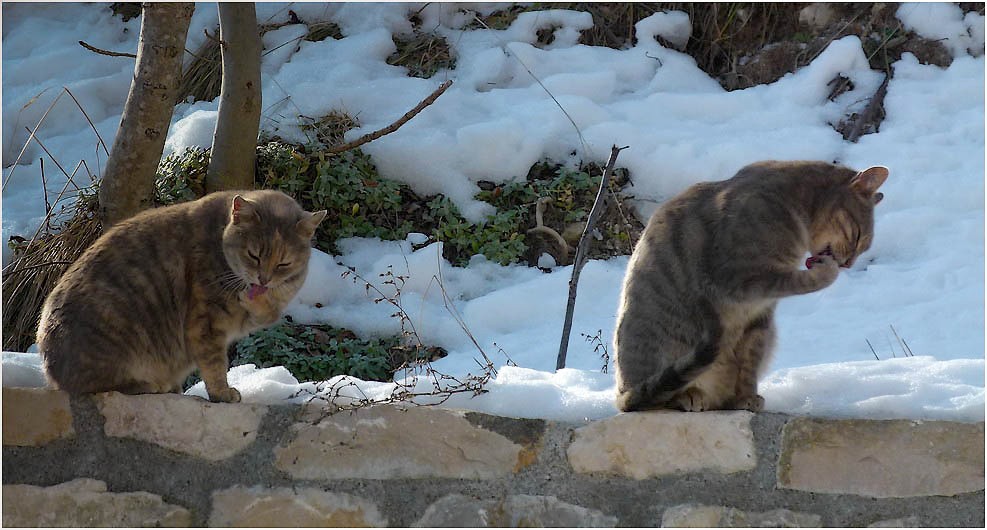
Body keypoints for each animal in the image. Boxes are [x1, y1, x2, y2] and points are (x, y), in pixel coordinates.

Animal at [38, 190, 326, 400]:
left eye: (283, 263)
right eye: (254, 255)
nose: (262, 280)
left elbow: (270, 313)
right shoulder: (205, 324)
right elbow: (215, 365)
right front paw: (223, 393)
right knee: (97, 386)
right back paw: (152, 385)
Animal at [612, 159, 892, 410]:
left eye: (864, 246)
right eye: (858, 236)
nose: (849, 264)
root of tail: (622, 393)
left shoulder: (761, 316)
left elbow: (749, 364)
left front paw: (746, 398)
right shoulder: (739, 279)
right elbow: (802, 279)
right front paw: (827, 273)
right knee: (657, 394)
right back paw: (687, 396)